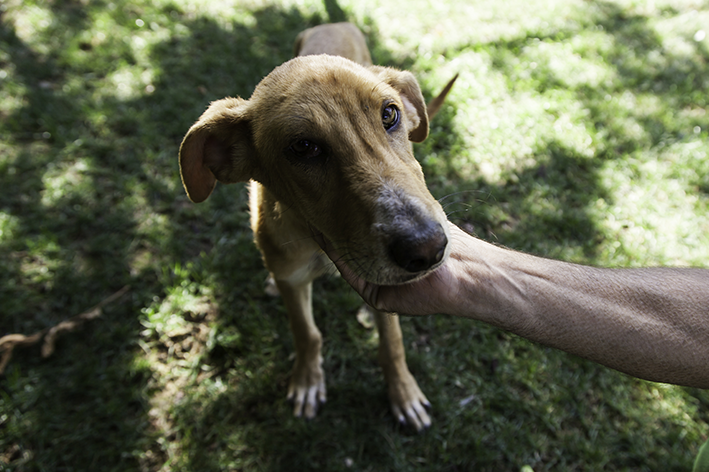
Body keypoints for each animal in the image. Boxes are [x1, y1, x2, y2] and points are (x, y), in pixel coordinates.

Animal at [177, 23, 454, 432]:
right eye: (304, 147)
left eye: (390, 114)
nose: (428, 248)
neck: (318, 243)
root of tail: (335, 24)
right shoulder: (293, 279)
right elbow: (306, 333)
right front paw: (307, 381)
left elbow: (392, 342)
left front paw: (403, 392)